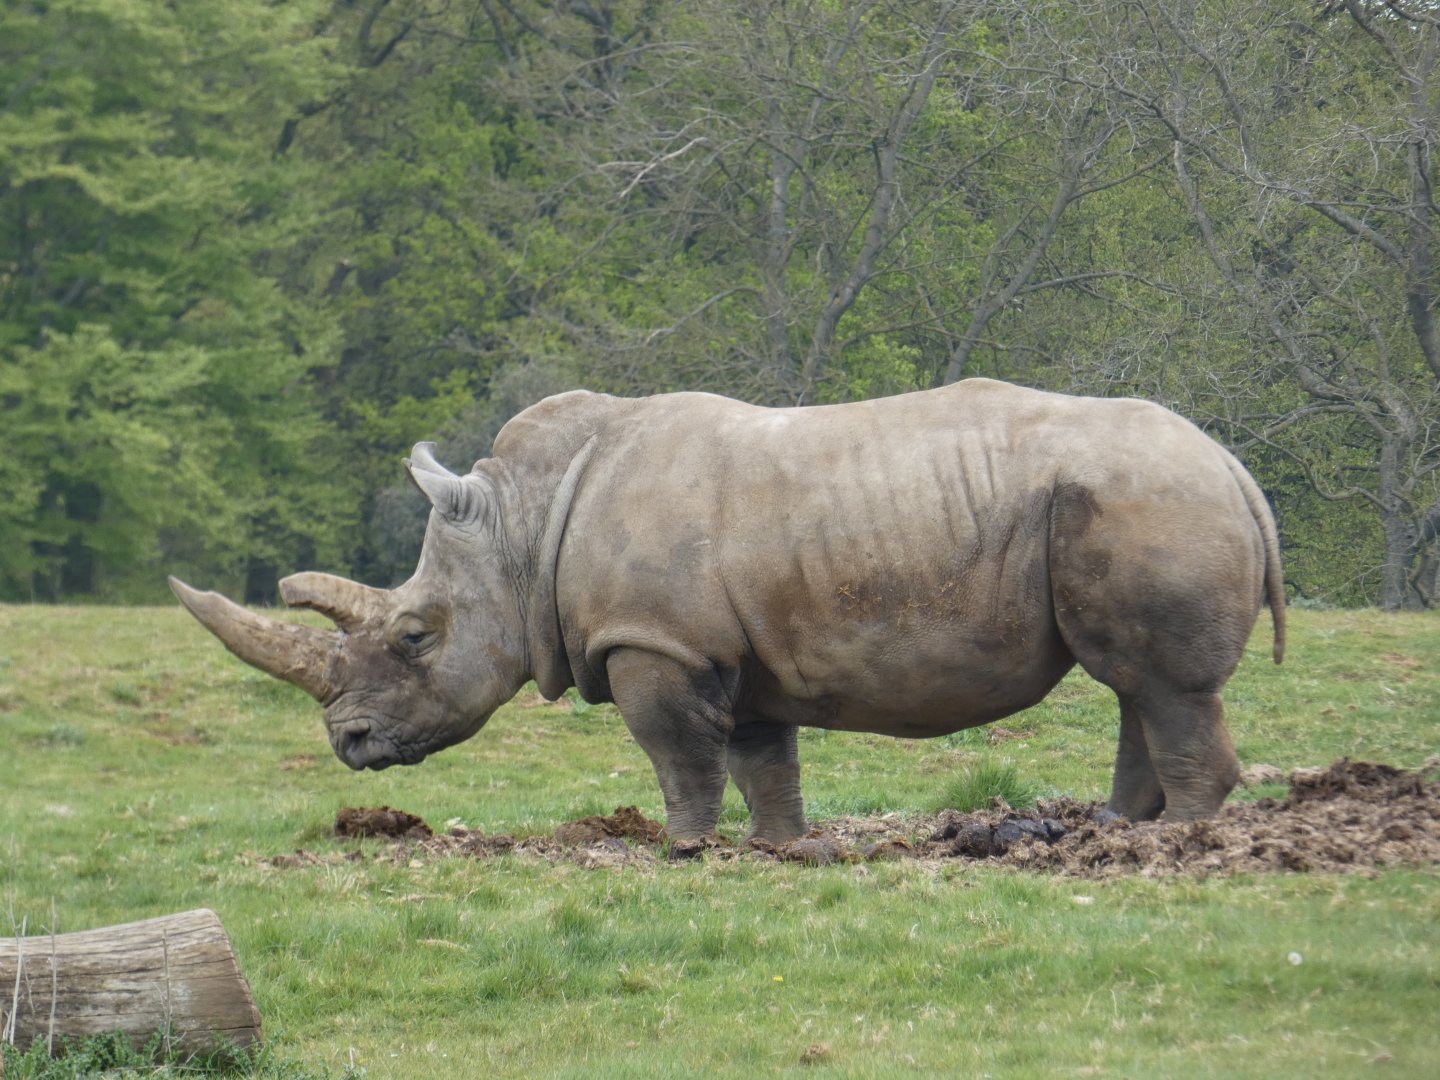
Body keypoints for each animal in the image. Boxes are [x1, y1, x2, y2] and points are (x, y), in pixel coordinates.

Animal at [171, 379, 1285, 842]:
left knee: (1158, 683)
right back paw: (1120, 833)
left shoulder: (654, 642)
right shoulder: (735, 652)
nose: (349, 742)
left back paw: (1176, 844)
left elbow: (680, 756)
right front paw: (786, 849)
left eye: (413, 637)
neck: (521, 529)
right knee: (1137, 684)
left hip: (1147, 501)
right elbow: (762, 758)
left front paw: (684, 849)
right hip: (1149, 499)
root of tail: (1237, 467)